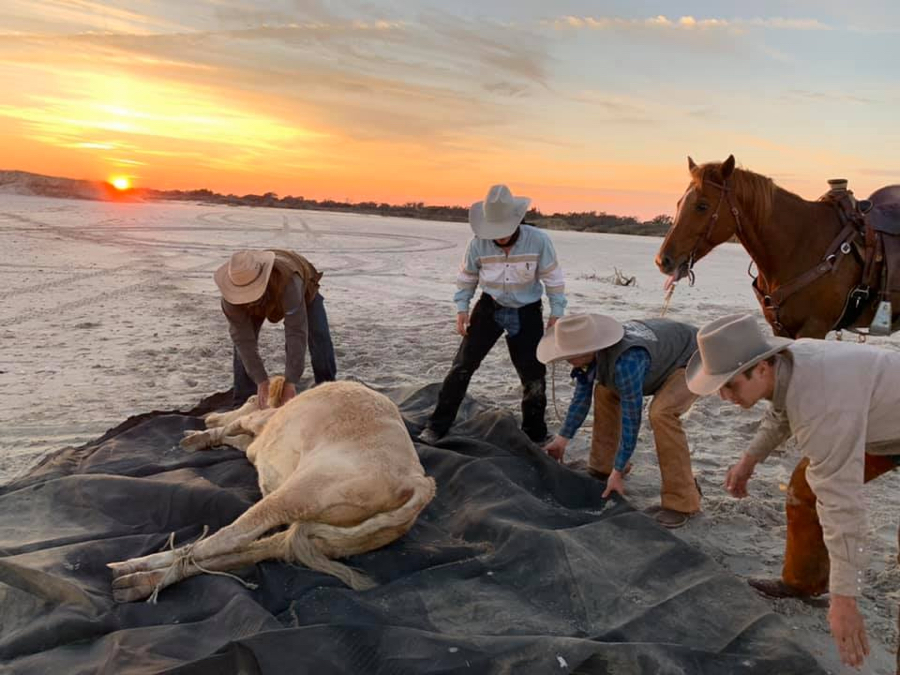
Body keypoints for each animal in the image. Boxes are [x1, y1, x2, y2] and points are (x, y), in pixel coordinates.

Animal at [109, 380, 436, 604]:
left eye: (251, 397)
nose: (209, 416)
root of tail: (418, 482)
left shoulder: (260, 420)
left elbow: (235, 426)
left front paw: (200, 436)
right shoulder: (255, 440)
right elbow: (238, 439)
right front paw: (206, 434)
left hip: (302, 490)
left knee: (230, 537)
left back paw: (132, 567)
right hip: (326, 538)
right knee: (256, 550)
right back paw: (136, 583)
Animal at [652, 156, 900, 340]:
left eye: (702, 206)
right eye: (679, 203)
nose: (663, 260)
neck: (799, 243)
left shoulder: (814, 328)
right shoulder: (780, 329)